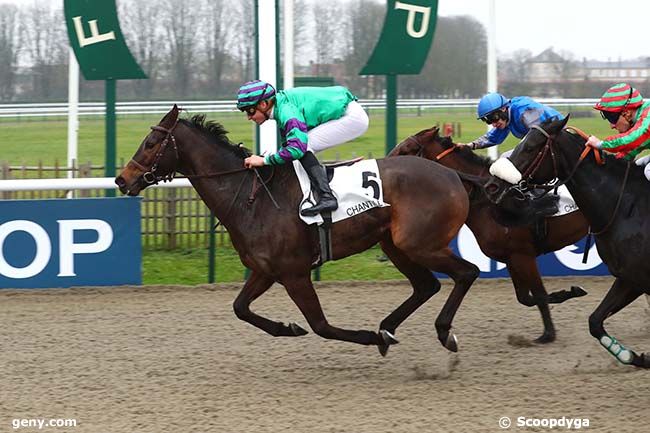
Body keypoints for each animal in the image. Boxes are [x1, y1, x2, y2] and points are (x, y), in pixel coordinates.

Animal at [114, 104, 478, 354]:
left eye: (151, 143)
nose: (121, 179)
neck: (252, 198)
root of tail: (452, 174)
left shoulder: (294, 272)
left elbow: (320, 325)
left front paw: (366, 336)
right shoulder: (265, 270)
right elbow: (240, 308)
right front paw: (287, 328)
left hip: (420, 244)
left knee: (466, 272)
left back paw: (440, 331)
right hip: (395, 245)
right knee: (427, 285)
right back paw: (388, 329)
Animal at [484, 113, 648, 366]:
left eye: (530, 147)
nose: (492, 186)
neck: (627, 206)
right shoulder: (629, 278)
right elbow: (594, 321)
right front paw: (635, 356)